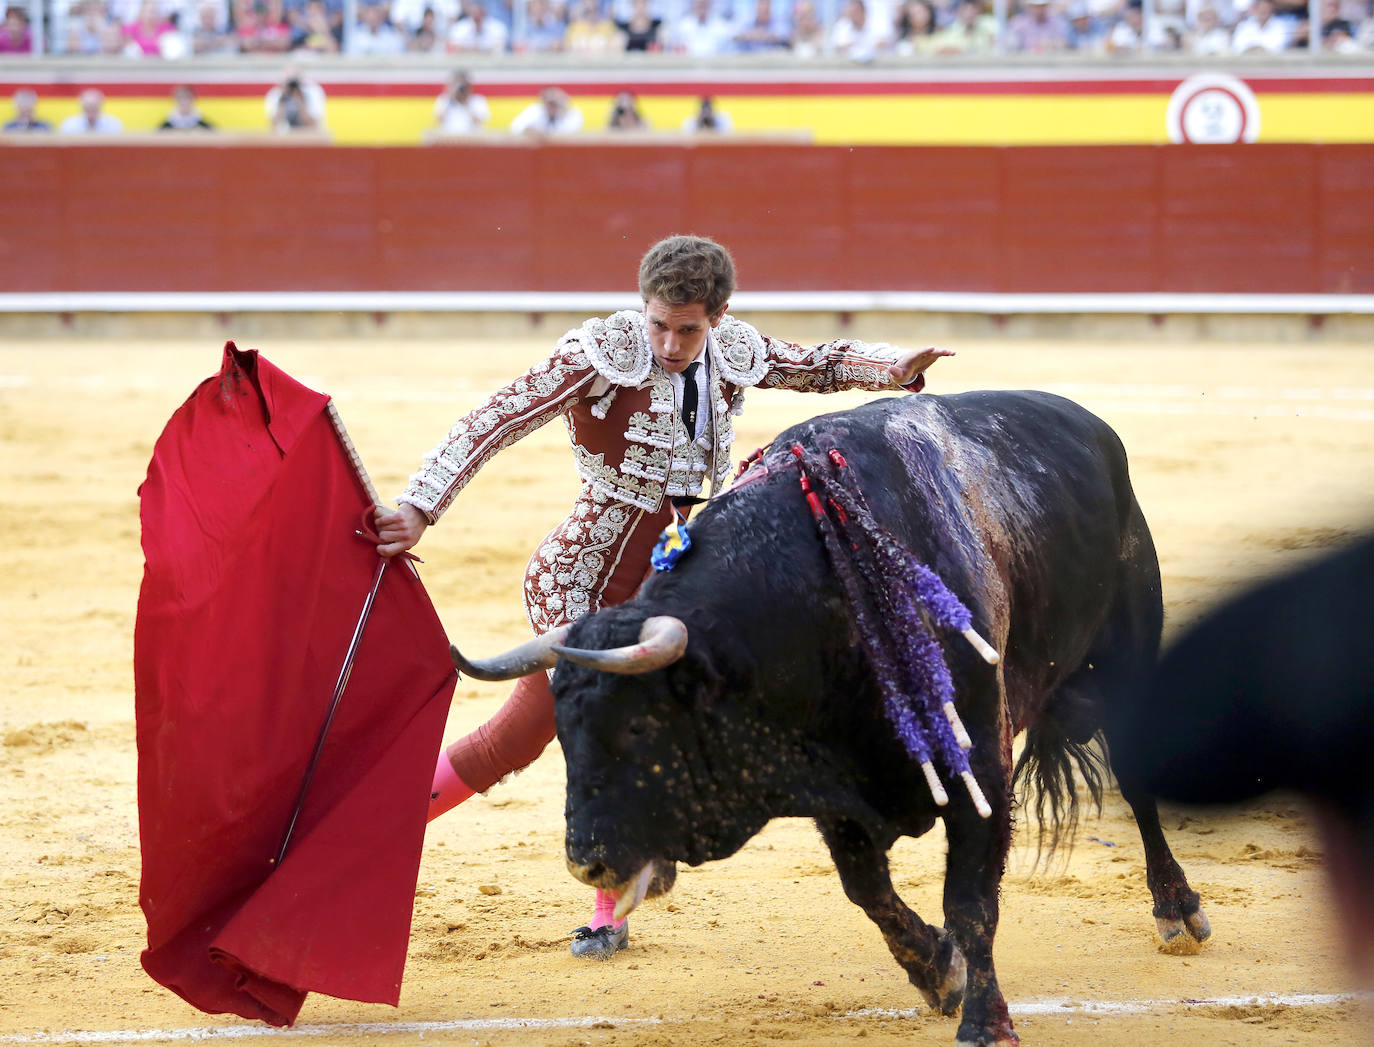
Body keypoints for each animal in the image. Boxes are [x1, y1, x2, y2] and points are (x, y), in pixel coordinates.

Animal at [456, 387, 1209, 1038]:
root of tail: (1090, 426)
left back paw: (1177, 909)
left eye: (640, 728)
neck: (815, 597)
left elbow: (970, 901)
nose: (585, 863)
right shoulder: (834, 788)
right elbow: (866, 888)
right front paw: (937, 971)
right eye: (563, 735)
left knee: (1139, 784)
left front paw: (984, 1023)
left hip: (1129, 653)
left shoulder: (980, 770)